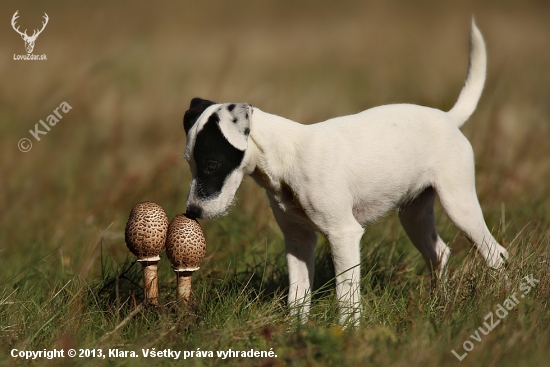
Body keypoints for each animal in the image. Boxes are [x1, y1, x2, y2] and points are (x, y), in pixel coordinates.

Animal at [183, 19, 512, 324]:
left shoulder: (343, 234)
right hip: (414, 214)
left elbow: (347, 297)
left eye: (212, 164)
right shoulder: (298, 240)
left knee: (497, 254)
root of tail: (447, 118)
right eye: (189, 162)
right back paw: (437, 305)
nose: (191, 213)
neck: (287, 158)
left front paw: (347, 331)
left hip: (459, 204)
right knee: (440, 253)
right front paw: (296, 331)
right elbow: (298, 296)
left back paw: (502, 299)